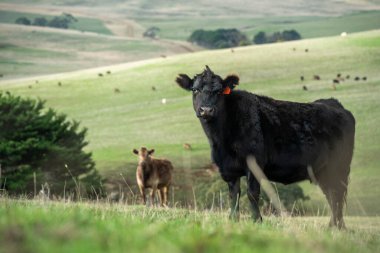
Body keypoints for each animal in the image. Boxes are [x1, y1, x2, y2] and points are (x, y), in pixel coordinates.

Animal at [177, 65, 354, 229]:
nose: (206, 110)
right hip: (323, 171)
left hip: (339, 168)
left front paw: (257, 221)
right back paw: (333, 226)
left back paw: (338, 227)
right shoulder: (228, 169)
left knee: (337, 195)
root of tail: (333, 102)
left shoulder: (254, 163)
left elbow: (252, 194)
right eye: (195, 89)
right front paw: (233, 220)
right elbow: (234, 195)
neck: (221, 141)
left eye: (219, 91)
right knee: (332, 196)